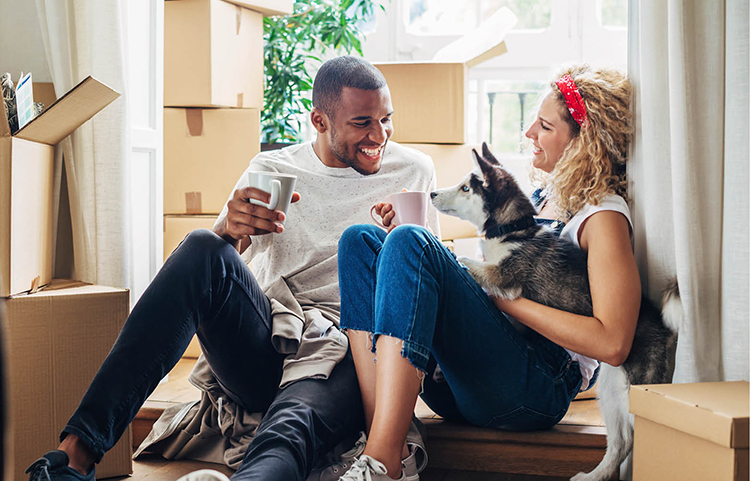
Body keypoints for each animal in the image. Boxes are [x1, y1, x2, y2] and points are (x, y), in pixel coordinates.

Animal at [432, 142, 684, 480]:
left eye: (465, 188)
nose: (431, 194)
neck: (512, 231)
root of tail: (662, 324)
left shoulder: (504, 278)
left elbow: (463, 262)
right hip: (611, 390)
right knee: (621, 442)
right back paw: (594, 475)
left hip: (635, 391)